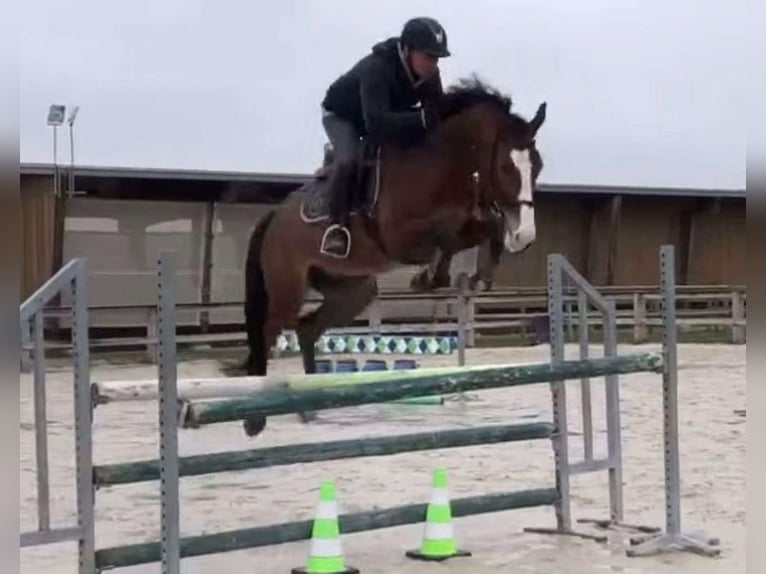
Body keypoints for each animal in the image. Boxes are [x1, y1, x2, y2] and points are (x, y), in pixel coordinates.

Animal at [240, 76, 544, 436]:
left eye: (538, 166)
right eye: (505, 167)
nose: (525, 236)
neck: (439, 166)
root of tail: (274, 216)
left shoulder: (467, 220)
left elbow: (486, 227)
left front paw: (481, 275)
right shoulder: (399, 237)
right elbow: (446, 232)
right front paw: (428, 278)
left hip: (352, 290)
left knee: (307, 328)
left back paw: (308, 409)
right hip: (287, 288)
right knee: (268, 330)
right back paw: (254, 419)